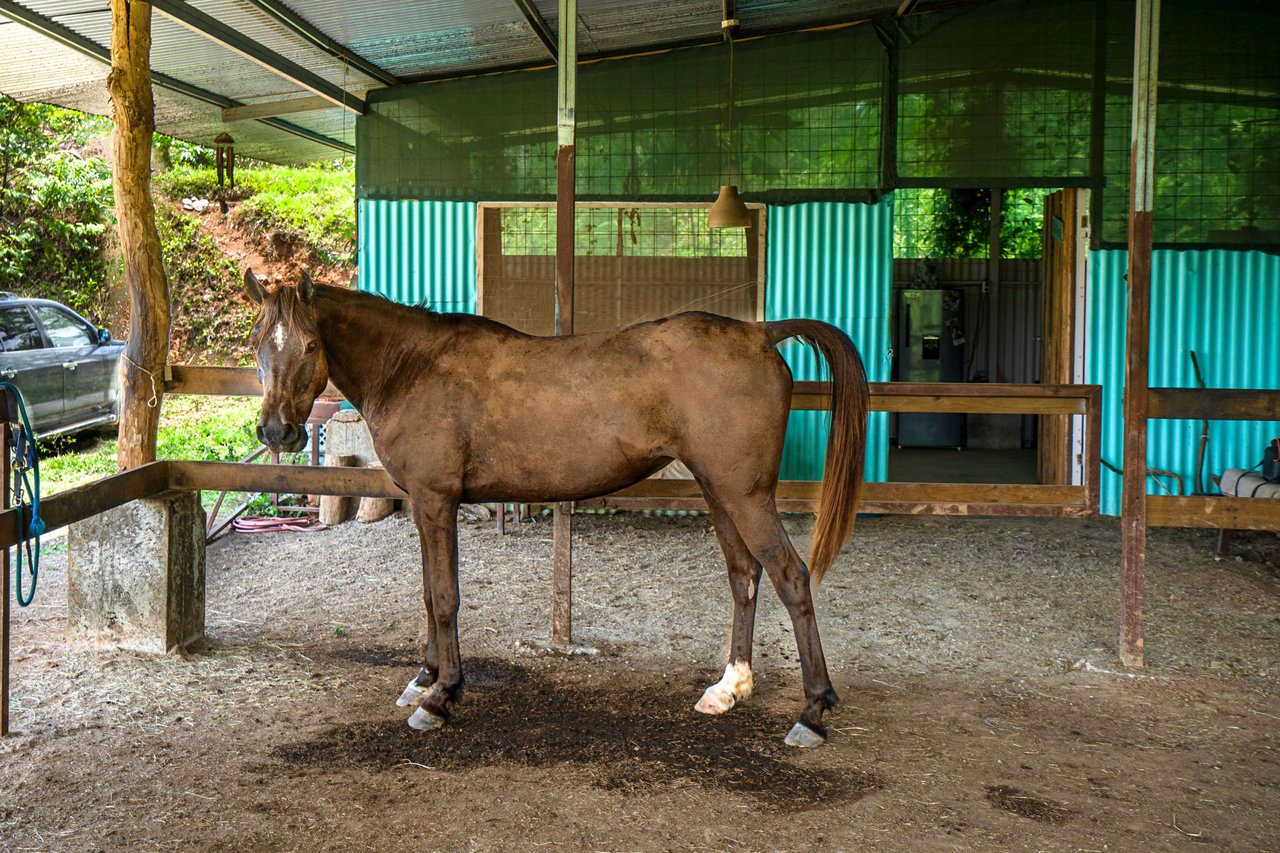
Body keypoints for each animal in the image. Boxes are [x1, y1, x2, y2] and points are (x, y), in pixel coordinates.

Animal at [247, 267, 870, 742]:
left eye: (309, 345)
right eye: (258, 343)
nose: (277, 432)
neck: (411, 365)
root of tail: (760, 333)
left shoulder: (436, 501)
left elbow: (444, 598)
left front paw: (441, 696)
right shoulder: (426, 508)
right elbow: (427, 593)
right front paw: (424, 677)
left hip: (746, 496)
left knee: (791, 577)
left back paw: (812, 711)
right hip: (722, 493)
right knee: (744, 575)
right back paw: (729, 688)